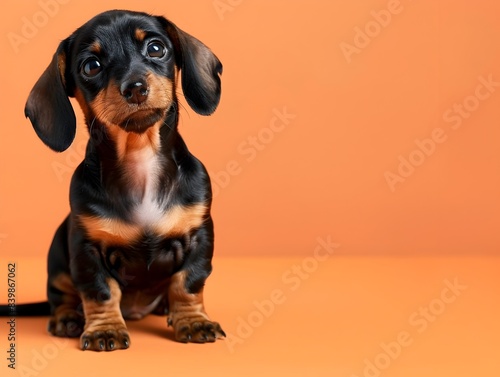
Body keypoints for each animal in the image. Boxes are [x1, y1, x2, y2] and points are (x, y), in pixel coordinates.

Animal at [21, 8, 223, 350]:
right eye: (91, 66)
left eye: (156, 48)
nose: (136, 87)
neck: (139, 160)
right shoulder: (87, 249)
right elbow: (100, 292)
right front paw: (105, 330)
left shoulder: (199, 236)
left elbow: (187, 283)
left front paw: (194, 321)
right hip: (59, 260)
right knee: (61, 296)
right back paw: (67, 318)